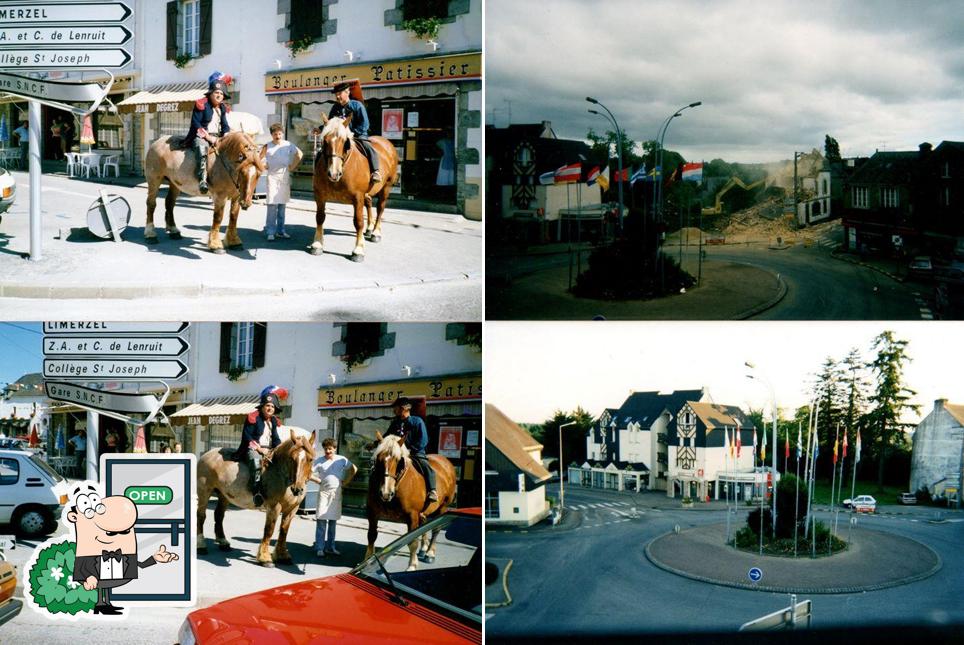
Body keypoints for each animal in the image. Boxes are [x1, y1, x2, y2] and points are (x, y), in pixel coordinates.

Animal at [196, 430, 316, 568]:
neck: (281, 474)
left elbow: (284, 530)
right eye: (292, 459)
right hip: (204, 491)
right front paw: (265, 558)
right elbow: (269, 530)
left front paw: (282, 556)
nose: (297, 489)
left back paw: (223, 542)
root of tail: (207, 454)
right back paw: (201, 545)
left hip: (224, 495)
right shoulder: (274, 506)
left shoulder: (293, 508)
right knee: (201, 516)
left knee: (219, 515)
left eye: (310, 459)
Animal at [310, 114, 398, 262]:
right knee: (369, 203)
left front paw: (358, 250)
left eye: (345, 142)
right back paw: (369, 228)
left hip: (386, 187)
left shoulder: (357, 197)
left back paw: (376, 232)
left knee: (380, 208)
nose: (333, 173)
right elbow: (320, 217)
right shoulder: (320, 195)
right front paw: (317, 244)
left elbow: (358, 222)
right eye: (324, 141)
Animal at [366, 432, 456, 568]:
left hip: (443, 507)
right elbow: (371, 536)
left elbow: (413, 540)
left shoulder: (412, 515)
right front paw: (366, 560)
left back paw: (430, 553)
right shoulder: (372, 513)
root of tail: (446, 461)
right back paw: (424, 549)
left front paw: (412, 565)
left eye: (398, 461)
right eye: (379, 459)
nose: (386, 493)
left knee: (436, 529)